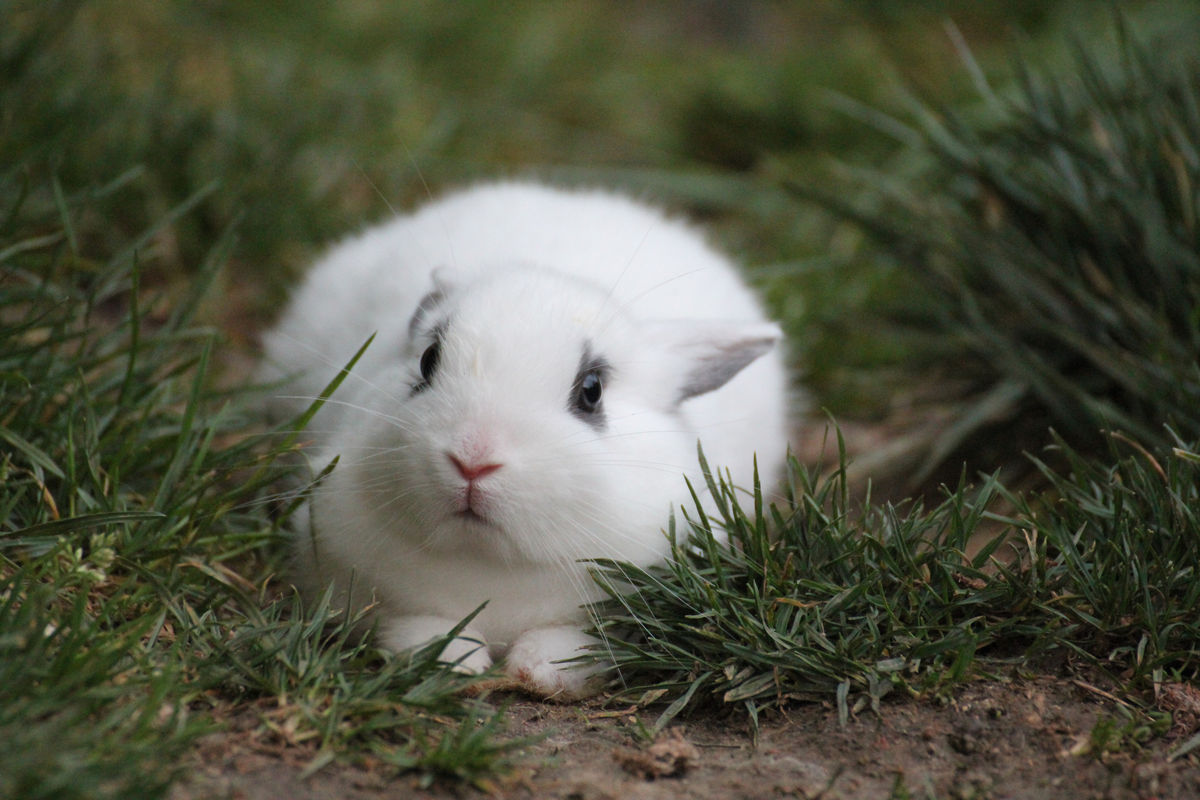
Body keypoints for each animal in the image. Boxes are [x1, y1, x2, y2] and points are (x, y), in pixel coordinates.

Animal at [260, 183, 787, 700]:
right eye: (428, 360)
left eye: (592, 390)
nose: (473, 459)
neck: (489, 562)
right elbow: (412, 624)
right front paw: (455, 663)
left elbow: (581, 638)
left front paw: (543, 670)